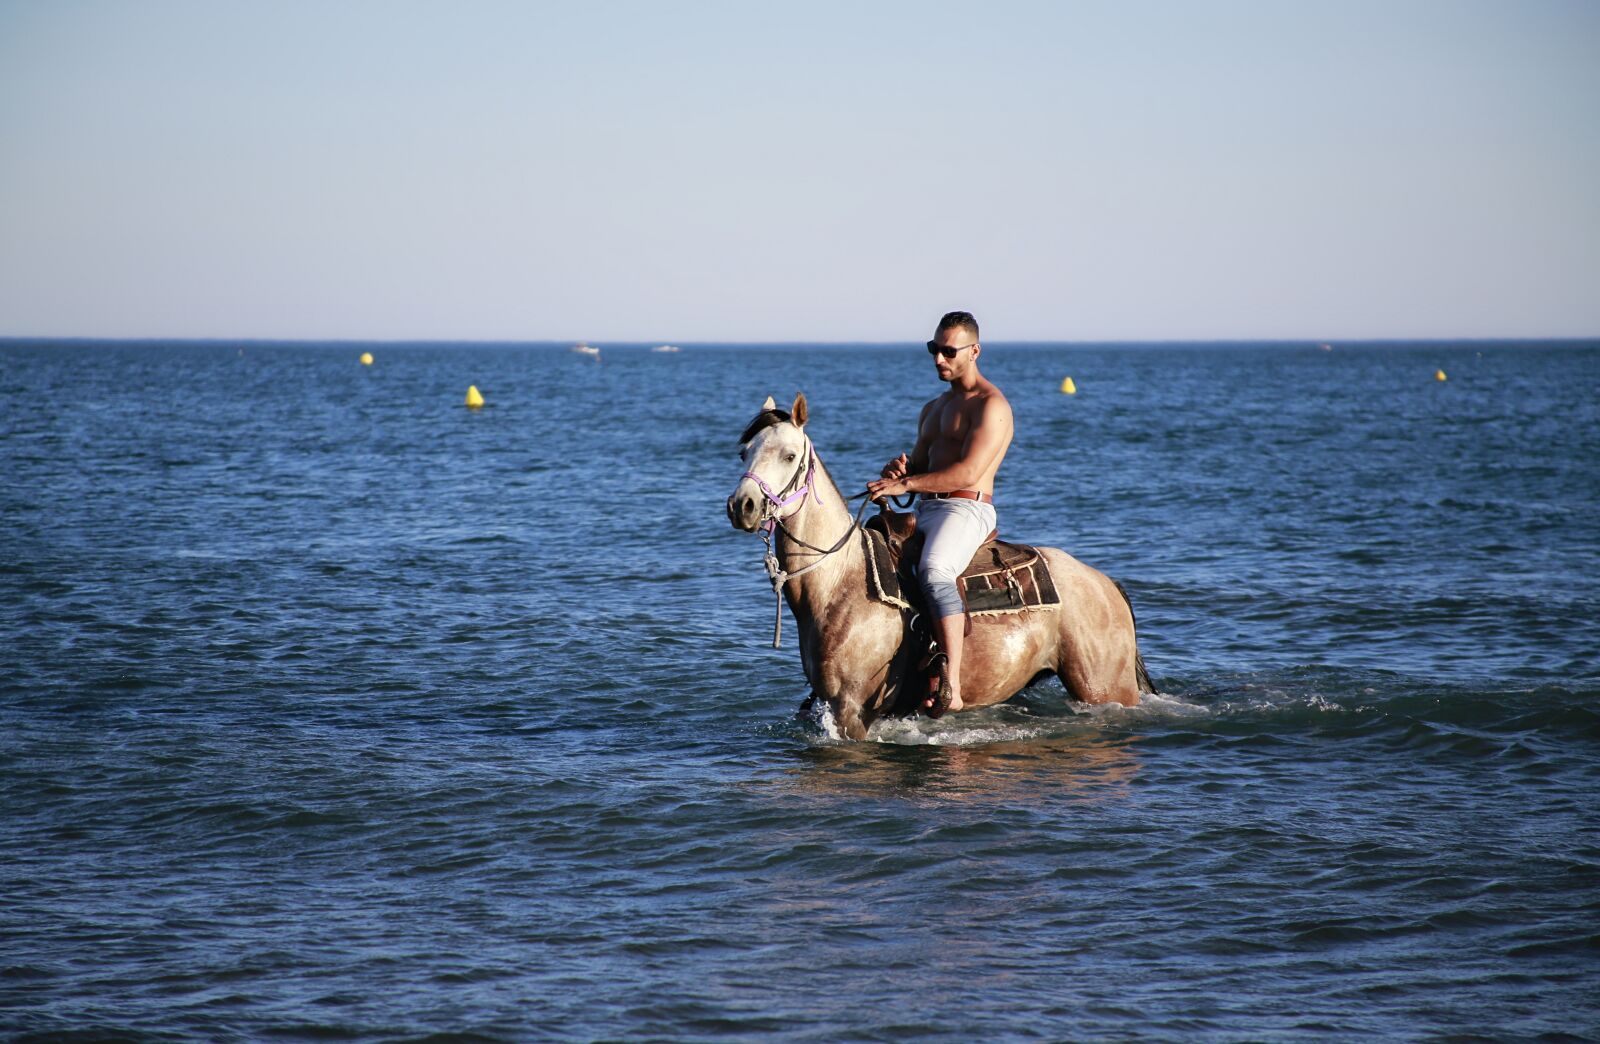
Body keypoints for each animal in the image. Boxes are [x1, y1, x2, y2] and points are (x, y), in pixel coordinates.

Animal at [726, 392, 1153, 741]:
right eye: (744, 453)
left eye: (789, 455)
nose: (742, 506)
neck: (839, 583)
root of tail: (1104, 583)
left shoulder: (852, 709)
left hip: (1105, 688)